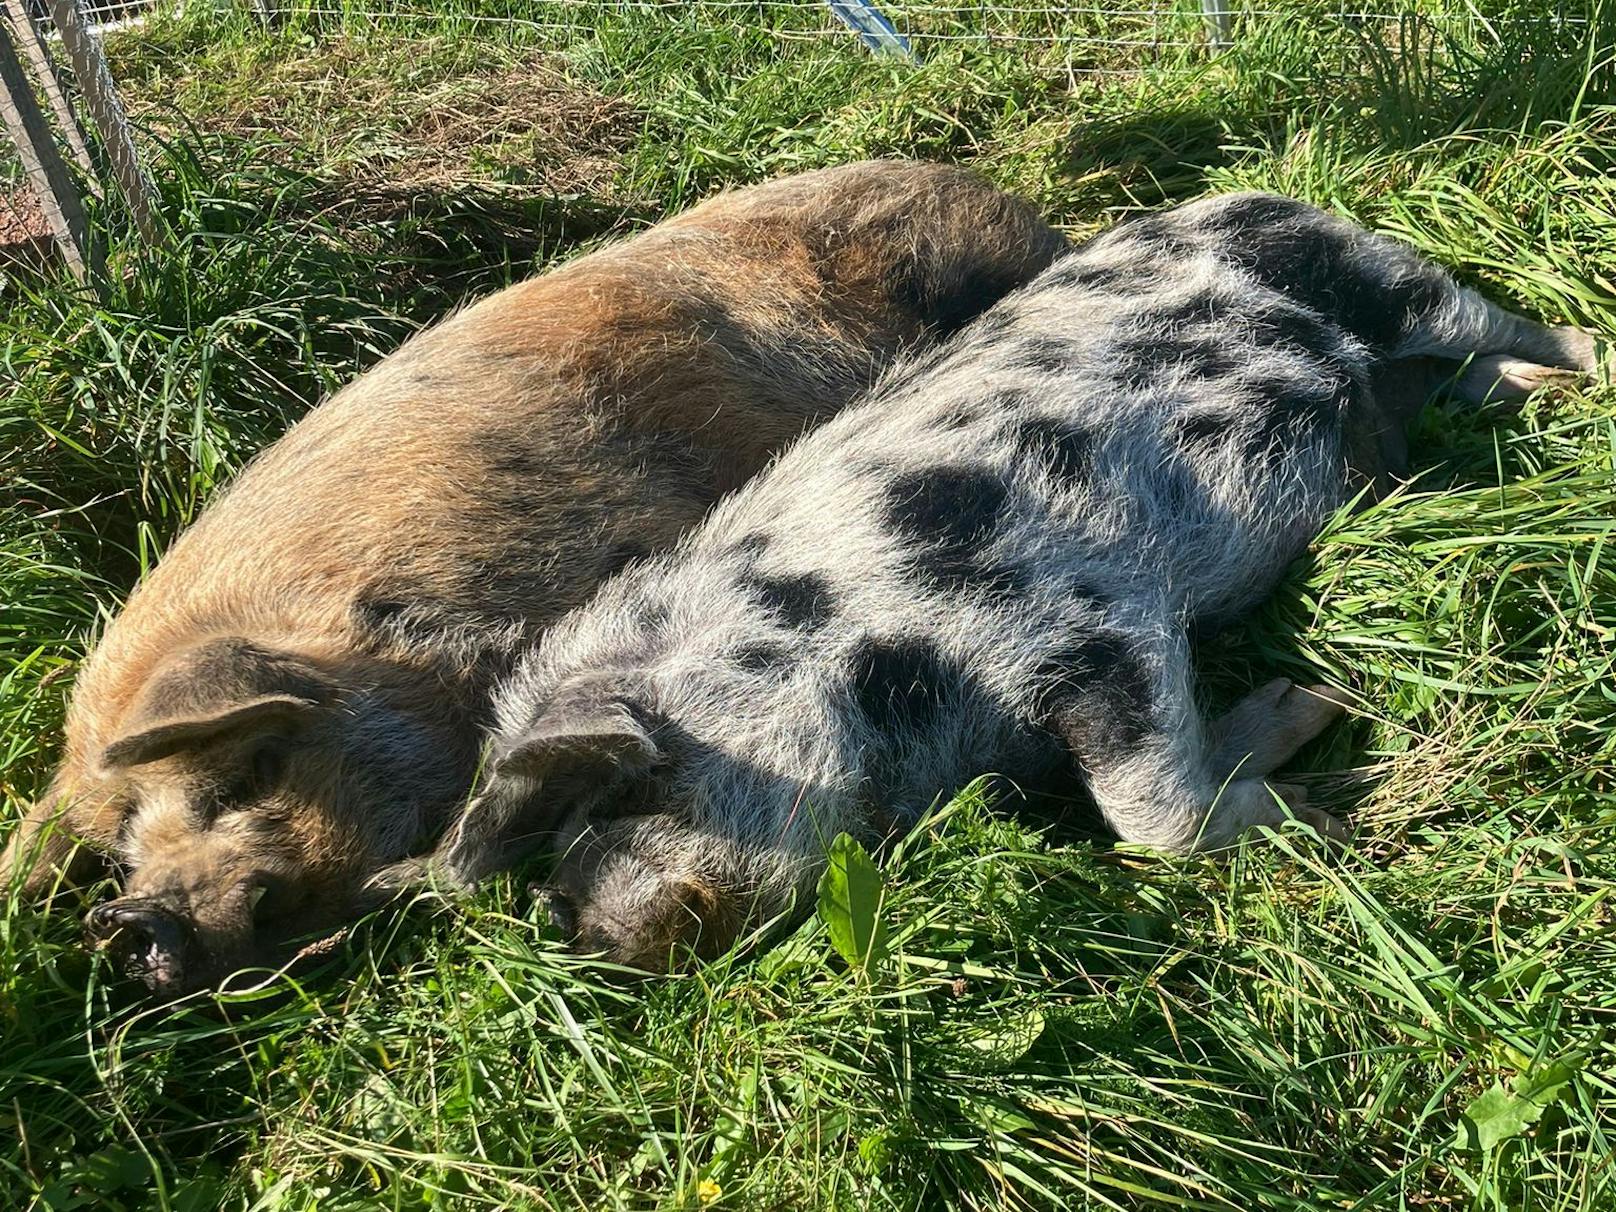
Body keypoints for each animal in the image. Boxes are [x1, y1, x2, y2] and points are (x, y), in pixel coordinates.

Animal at [416, 197, 1590, 976]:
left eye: (599, 807)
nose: (587, 937)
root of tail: (1236, 197)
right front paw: (1304, 723)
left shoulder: (1090, 612)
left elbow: (1150, 809)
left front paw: (1325, 810)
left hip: (1380, 279)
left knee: (1512, 323)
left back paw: (1579, 381)